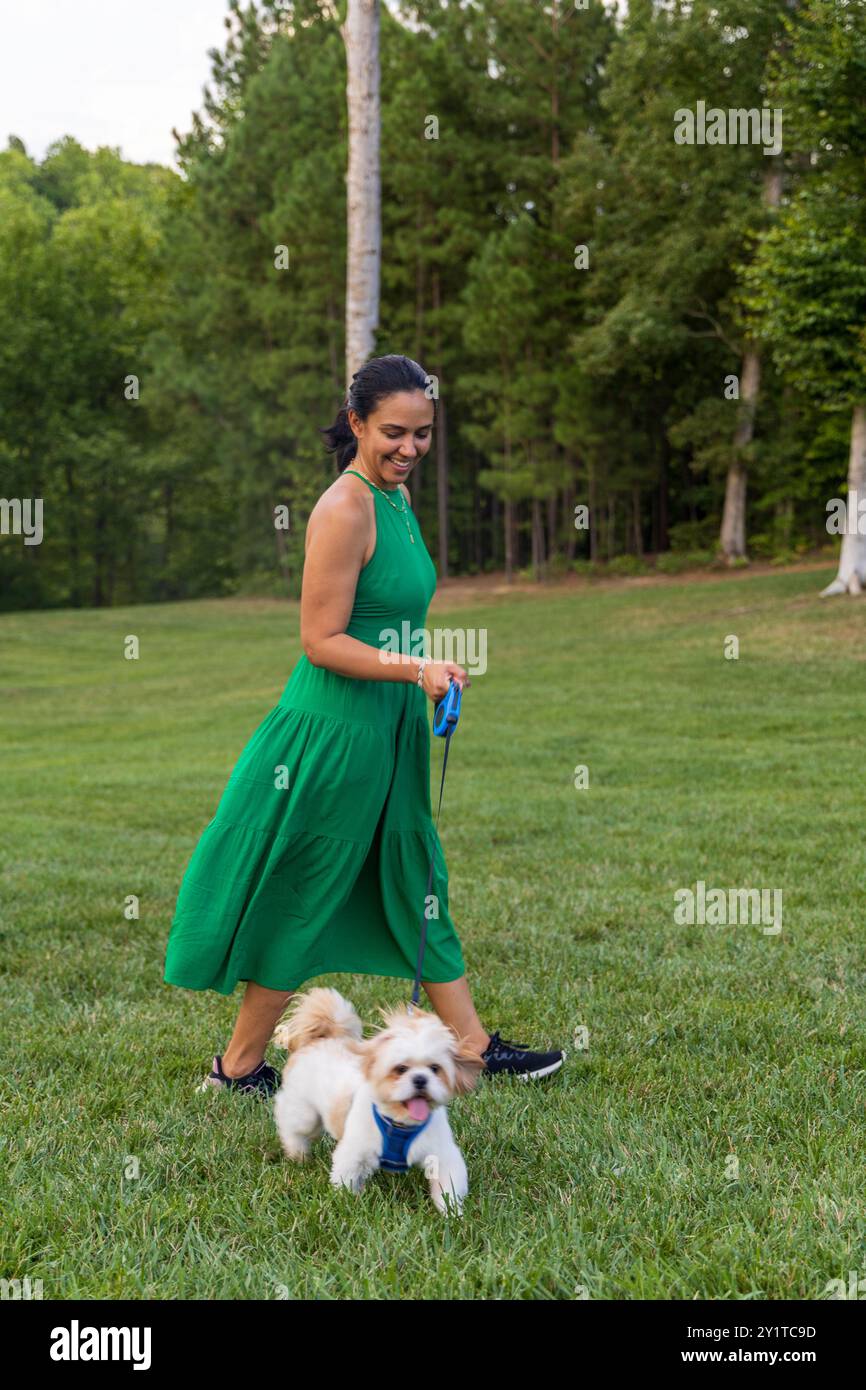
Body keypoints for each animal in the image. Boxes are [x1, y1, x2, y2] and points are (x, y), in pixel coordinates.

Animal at [272, 989, 489, 1217]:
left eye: (435, 1068)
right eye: (401, 1069)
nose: (420, 1079)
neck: (400, 1122)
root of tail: (318, 1040)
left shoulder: (442, 1154)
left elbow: (448, 1185)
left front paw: (452, 1214)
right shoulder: (354, 1153)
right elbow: (346, 1179)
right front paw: (348, 1203)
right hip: (304, 1114)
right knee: (292, 1125)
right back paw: (298, 1155)